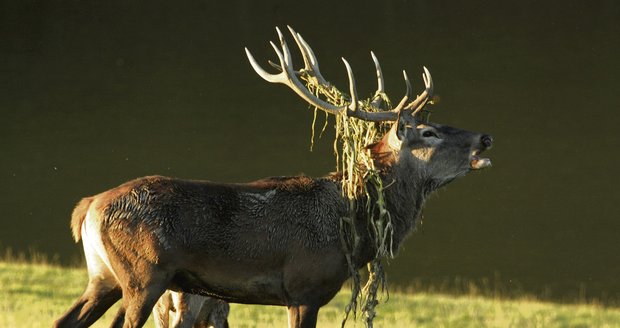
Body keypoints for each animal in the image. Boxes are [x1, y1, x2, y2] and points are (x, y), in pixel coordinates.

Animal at [55, 27, 492, 328]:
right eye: (429, 132)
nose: (485, 138)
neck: (352, 233)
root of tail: (87, 208)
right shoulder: (304, 286)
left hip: (104, 275)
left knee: (66, 320)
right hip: (144, 274)